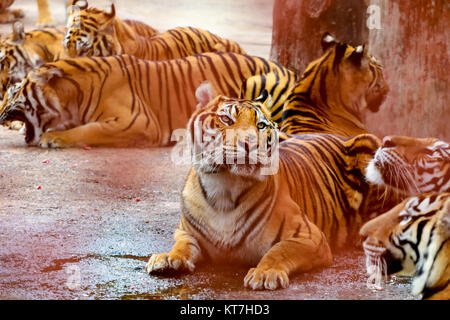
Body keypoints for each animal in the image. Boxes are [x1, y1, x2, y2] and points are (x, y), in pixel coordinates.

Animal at [146, 84, 382, 290]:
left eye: (260, 125)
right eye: (225, 119)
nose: (250, 143)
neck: (224, 188)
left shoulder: (309, 236)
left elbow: (279, 250)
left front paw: (265, 273)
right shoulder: (186, 232)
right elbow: (182, 245)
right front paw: (168, 258)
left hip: (371, 144)